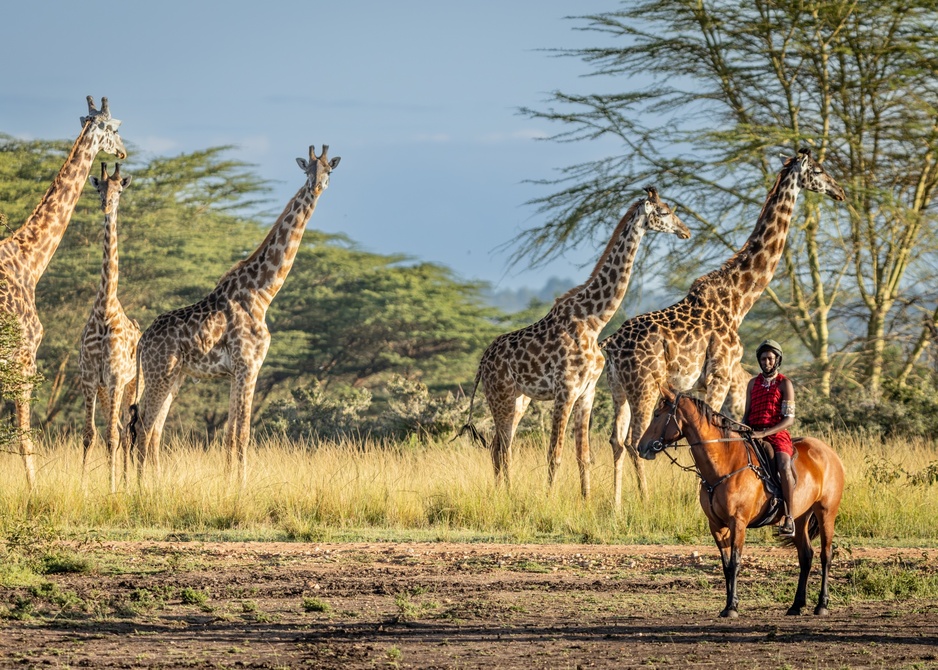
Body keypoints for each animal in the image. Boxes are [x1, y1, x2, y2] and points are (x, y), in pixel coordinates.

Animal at [0, 96, 126, 488]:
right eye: (114, 127)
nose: (123, 150)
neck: (28, 261)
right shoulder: (25, 356)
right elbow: (24, 438)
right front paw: (33, 492)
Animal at [129, 145, 340, 486]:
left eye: (328, 170)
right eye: (306, 168)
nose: (316, 186)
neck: (263, 293)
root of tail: (142, 341)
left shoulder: (239, 370)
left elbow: (230, 433)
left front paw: (231, 482)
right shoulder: (248, 365)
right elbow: (240, 433)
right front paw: (239, 486)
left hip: (174, 377)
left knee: (153, 429)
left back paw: (155, 483)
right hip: (161, 373)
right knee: (144, 427)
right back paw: (142, 487)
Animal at [462, 187, 690, 497]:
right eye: (665, 211)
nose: (686, 231)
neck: (593, 321)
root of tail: (481, 363)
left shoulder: (587, 392)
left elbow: (584, 455)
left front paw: (587, 500)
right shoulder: (566, 390)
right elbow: (554, 454)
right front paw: (548, 499)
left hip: (520, 399)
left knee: (497, 446)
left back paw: (501, 493)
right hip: (501, 396)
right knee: (505, 447)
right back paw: (507, 495)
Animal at [601, 149, 845, 506]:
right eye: (818, 170)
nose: (839, 191)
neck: (739, 299)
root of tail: (609, 346)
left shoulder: (723, 380)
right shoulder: (719, 374)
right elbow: (711, 432)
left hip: (618, 389)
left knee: (616, 441)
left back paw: (616, 504)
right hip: (644, 386)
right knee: (634, 441)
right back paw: (644, 499)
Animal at [637, 386, 844, 618]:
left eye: (657, 415)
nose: (641, 447)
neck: (724, 465)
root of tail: (828, 452)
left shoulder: (738, 523)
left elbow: (735, 562)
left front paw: (732, 608)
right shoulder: (717, 525)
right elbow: (726, 565)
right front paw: (728, 604)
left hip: (826, 512)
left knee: (826, 555)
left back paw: (822, 605)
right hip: (800, 517)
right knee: (806, 556)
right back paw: (796, 605)